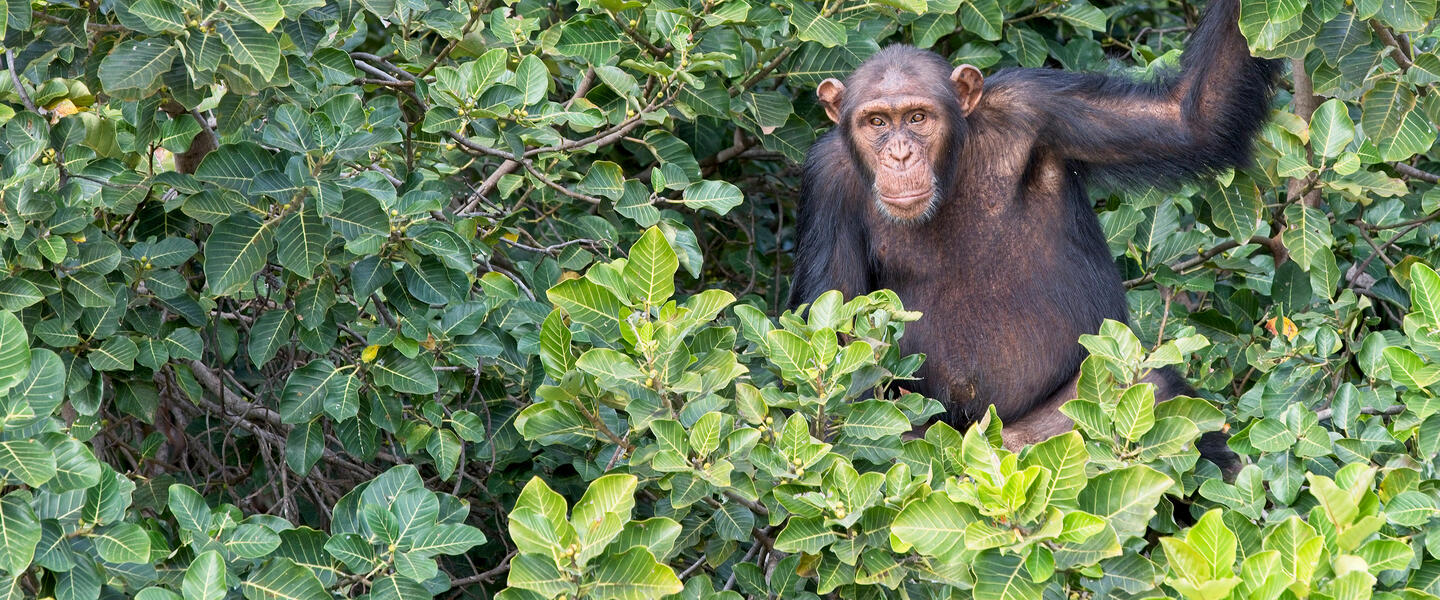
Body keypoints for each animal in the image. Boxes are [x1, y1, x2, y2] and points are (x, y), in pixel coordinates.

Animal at [789, 0, 1284, 466]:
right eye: (875, 122)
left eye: (917, 118)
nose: (898, 154)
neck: (951, 166)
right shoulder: (826, 179)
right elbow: (836, 351)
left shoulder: (1034, 104)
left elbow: (1187, 119)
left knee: (1154, 387)